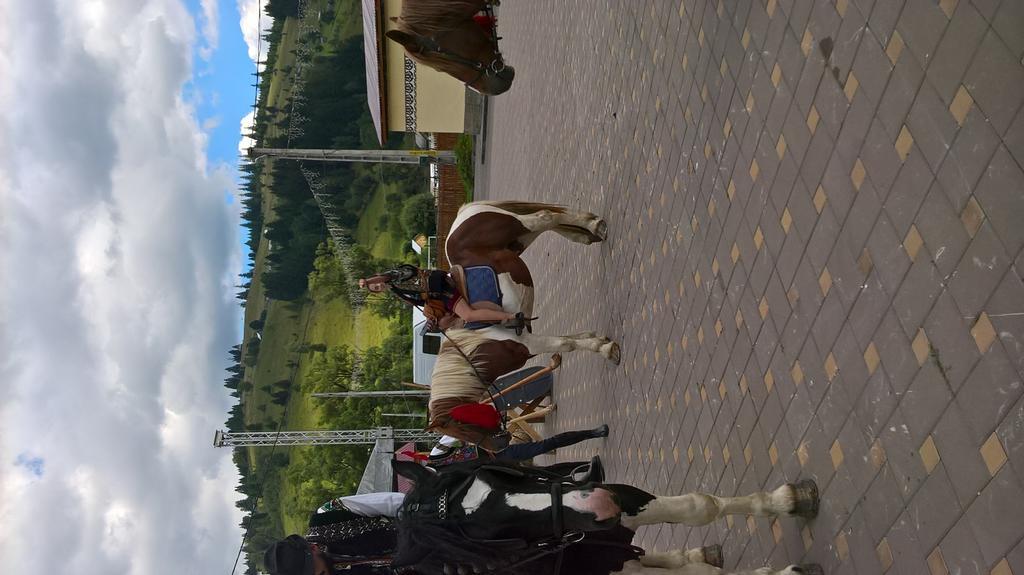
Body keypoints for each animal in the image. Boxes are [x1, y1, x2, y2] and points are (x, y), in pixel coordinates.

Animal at [391, 456, 823, 572]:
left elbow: (698, 506)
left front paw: (788, 500)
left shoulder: (620, 502)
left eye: (495, 472)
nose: (597, 506)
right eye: (492, 538)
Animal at [425, 200, 614, 448]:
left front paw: (605, 348)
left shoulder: (528, 342)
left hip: (520, 227)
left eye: (462, 427)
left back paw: (593, 227)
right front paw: (597, 339)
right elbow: (569, 340)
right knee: (552, 221)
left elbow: (565, 344)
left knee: (545, 217)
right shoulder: (529, 343)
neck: (477, 349)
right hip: (520, 241)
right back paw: (586, 231)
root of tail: (461, 216)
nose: (499, 447)